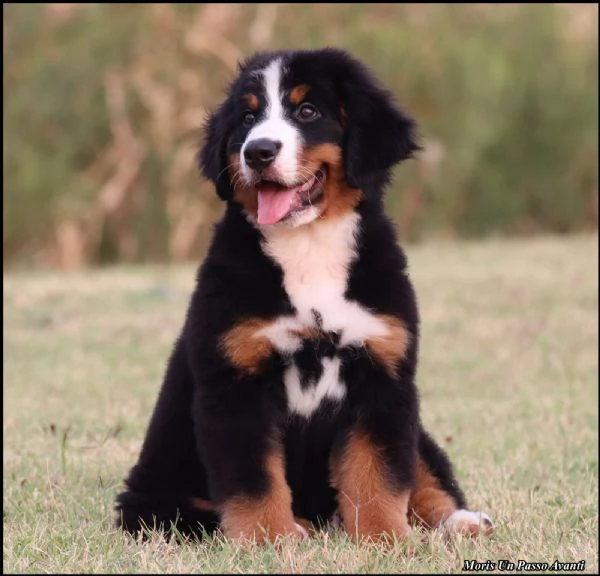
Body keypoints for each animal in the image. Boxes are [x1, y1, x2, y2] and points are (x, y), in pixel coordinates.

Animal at [115, 46, 494, 544]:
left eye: (307, 111)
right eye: (248, 117)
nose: (257, 151)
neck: (309, 245)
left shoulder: (383, 377)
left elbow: (378, 475)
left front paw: (385, 540)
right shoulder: (236, 382)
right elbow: (255, 479)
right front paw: (269, 540)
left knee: (426, 474)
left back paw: (461, 522)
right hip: (155, 501)